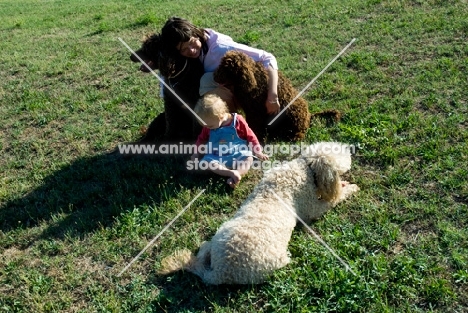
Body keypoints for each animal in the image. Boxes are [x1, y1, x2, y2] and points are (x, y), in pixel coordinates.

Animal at [159, 141, 360, 282]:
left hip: (217, 237)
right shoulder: (312, 208)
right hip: (273, 263)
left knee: (204, 249)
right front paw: (350, 188)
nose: (350, 151)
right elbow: (333, 200)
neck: (305, 167)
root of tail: (219, 273)